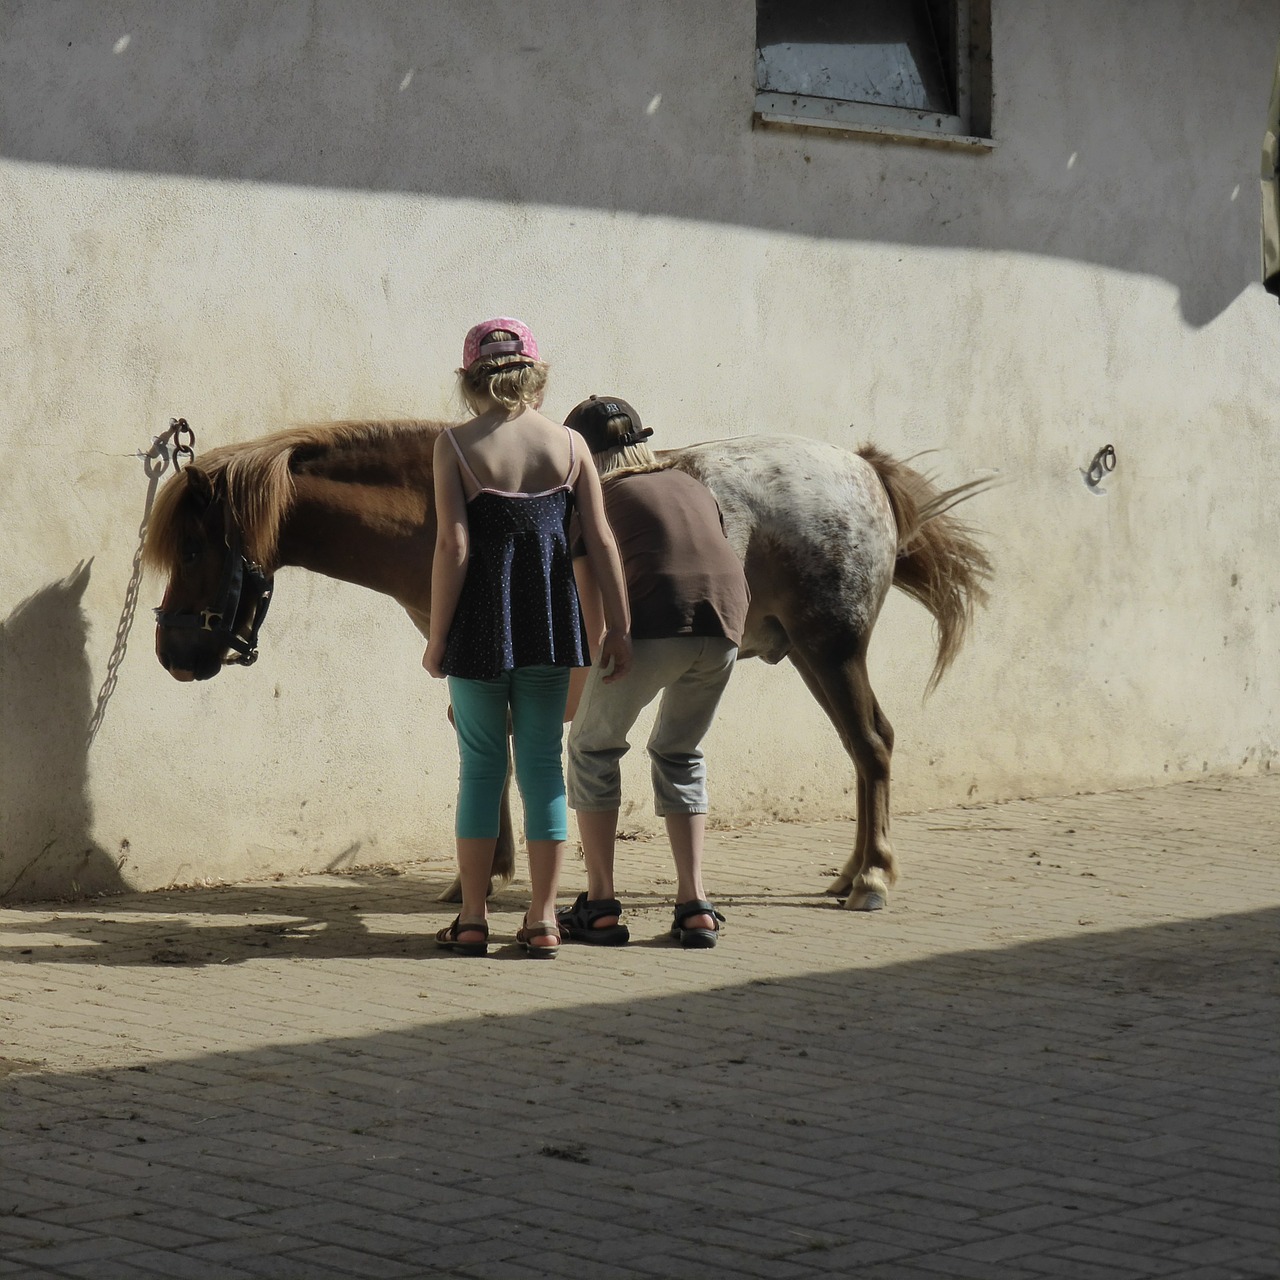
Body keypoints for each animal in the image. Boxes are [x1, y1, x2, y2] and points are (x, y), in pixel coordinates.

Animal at [145, 419, 993, 911]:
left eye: (191, 548)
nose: (171, 653)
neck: (447, 514)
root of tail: (860, 467)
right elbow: (496, 755)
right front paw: (491, 872)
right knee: (865, 749)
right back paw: (851, 873)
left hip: (832, 648)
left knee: (872, 745)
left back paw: (872, 877)